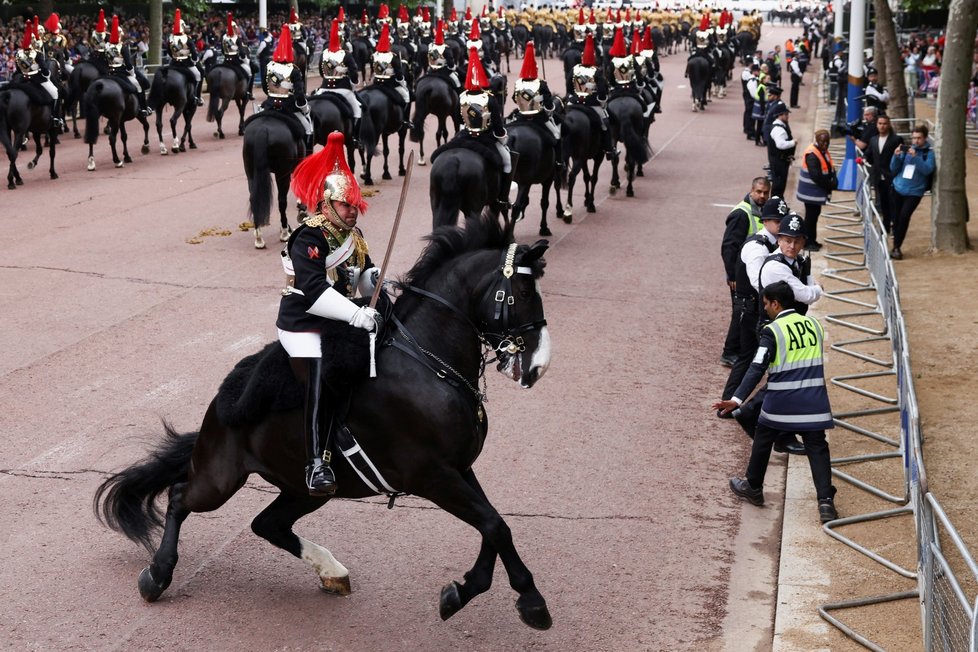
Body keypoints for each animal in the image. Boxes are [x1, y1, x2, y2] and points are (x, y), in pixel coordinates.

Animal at [95, 219, 552, 632]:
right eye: (523, 292)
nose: (539, 366)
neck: (428, 362)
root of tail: (222, 400)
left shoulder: (460, 469)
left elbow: (494, 526)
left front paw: (467, 591)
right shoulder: (433, 475)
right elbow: (494, 525)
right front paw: (529, 602)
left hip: (303, 488)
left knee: (267, 524)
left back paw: (331, 571)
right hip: (219, 479)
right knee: (179, 497)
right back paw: (158, 575)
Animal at [238, 113, 304, 248]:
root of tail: (263, 129)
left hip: (251, 173)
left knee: (254, 199)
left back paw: (259, 237)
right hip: (282, 173)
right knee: (282, 201)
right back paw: (284, 232)